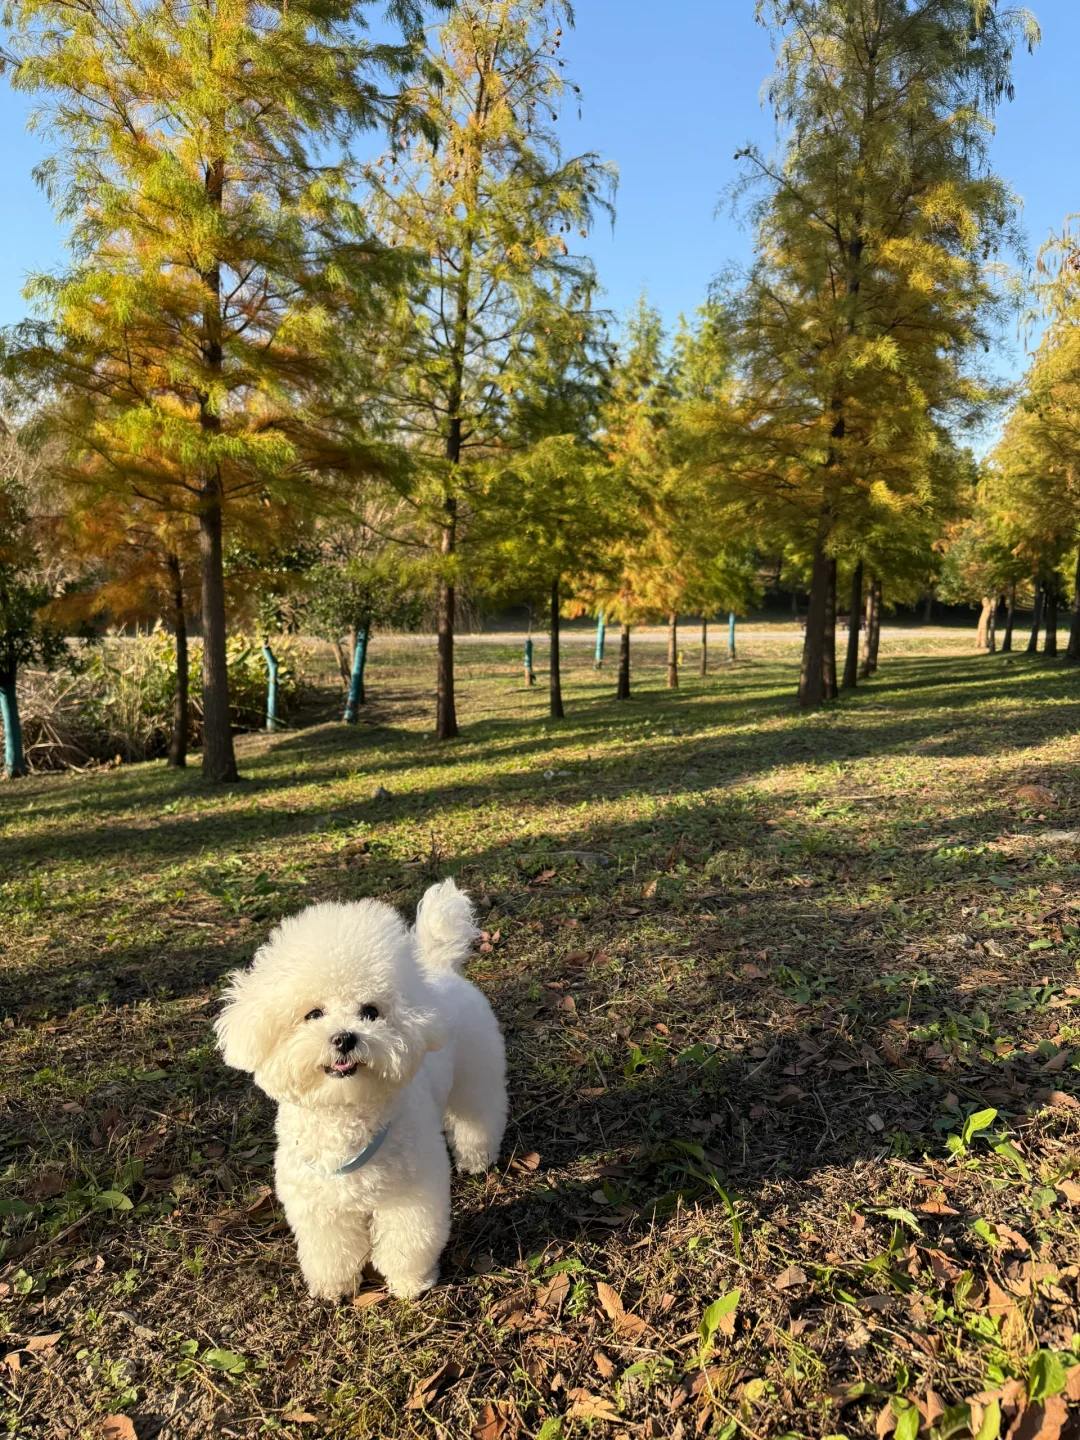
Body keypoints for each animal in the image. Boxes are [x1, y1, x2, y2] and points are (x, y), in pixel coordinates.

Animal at [217, 875, 512, 1307]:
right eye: (313, 1014)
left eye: (370, 1011)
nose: (344, 1038)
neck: (344, 1112)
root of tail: (439, 967)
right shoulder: (318, 1205)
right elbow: (331, 1250)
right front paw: (333, 1287)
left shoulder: (411, 1194)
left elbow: (408, 1240)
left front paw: (410, 1283)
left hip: (477, 1075)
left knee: (480, 1116)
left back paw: (476, 1158)